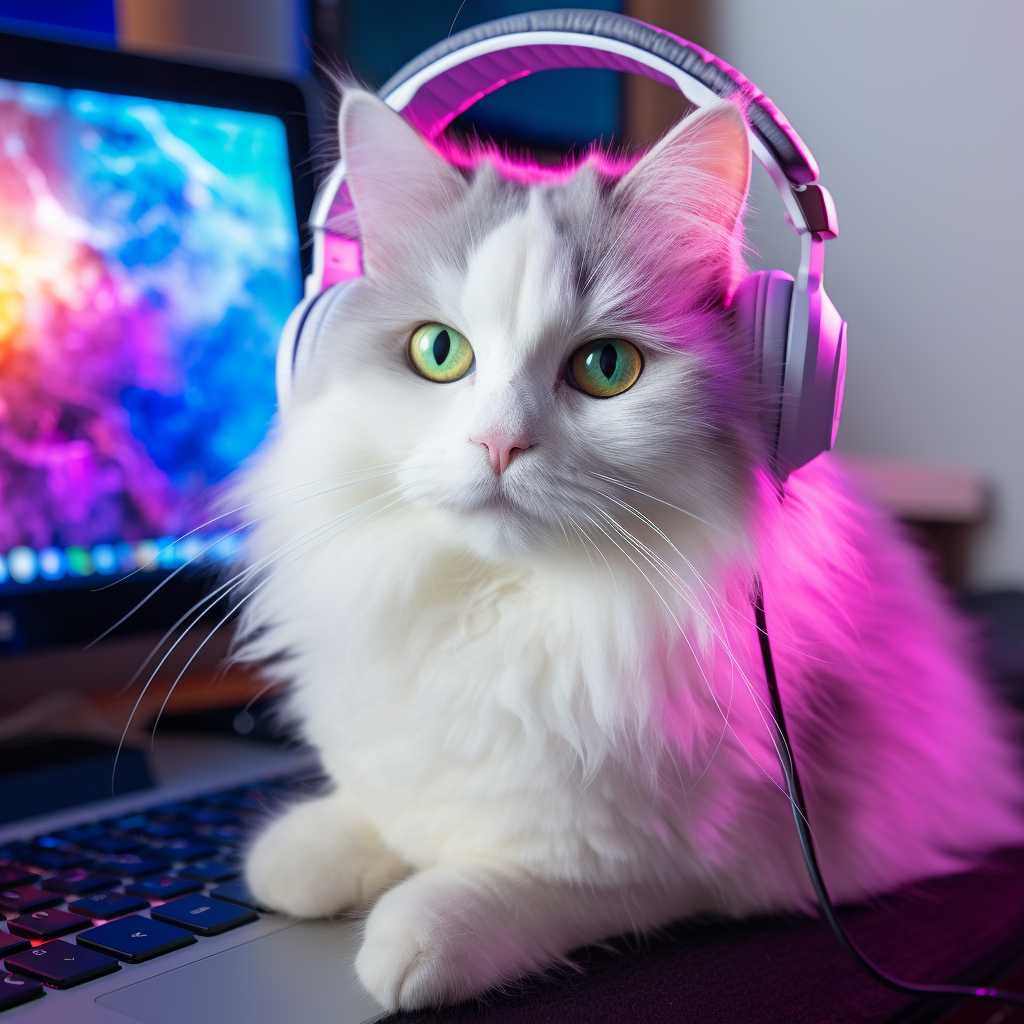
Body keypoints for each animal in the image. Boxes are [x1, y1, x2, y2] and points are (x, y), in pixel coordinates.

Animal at [234, 86, 1024, 1007]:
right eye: (439, 352)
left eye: (606, 367)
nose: (499, 444)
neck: (507, 608)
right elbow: (378, 808)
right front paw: (296, 856)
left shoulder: (683, 866)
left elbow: (519, 884)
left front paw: (409, 940)